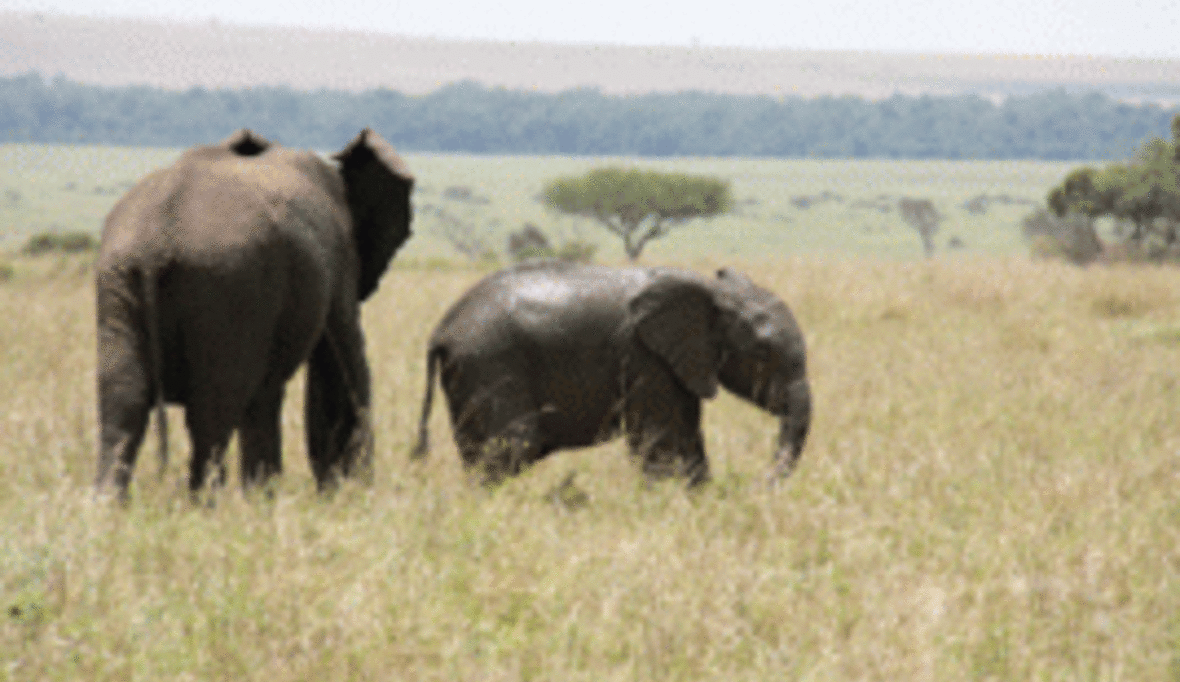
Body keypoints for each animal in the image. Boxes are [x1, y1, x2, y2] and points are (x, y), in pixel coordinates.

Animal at [97, 128, 420, 500]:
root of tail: (156, 244)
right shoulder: (338, 258)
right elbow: (342, 367)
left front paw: (268, 498)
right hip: (226, 284)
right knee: (212, 413)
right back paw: (204, 505)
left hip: (121, 279)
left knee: (123, 403)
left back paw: (111, 506)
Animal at [410, 257, 807, 486]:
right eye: (762, 353)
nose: (757, 482)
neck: (711, 289)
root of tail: (440, 330)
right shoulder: (644, 355)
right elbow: (660, 438)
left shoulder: (676, 359)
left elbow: (687, 433)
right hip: (490, 364)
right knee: (511, 447)